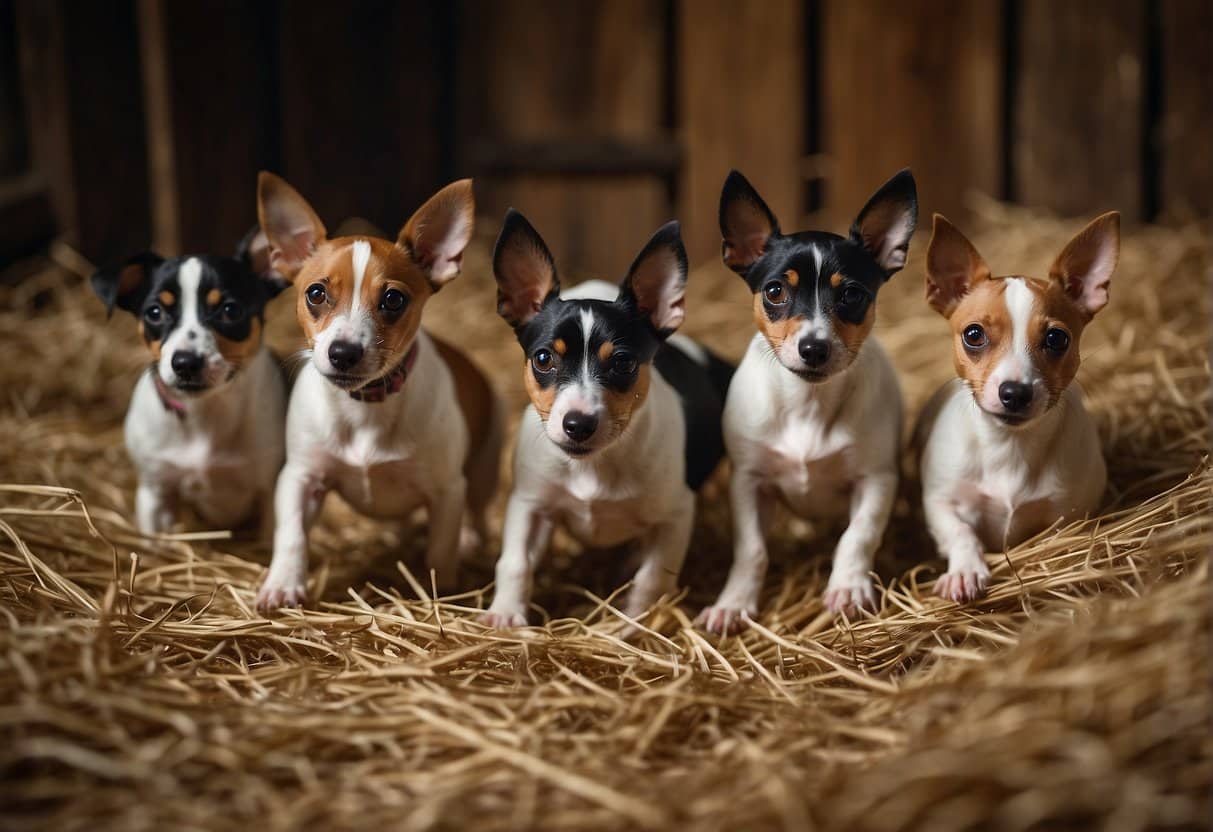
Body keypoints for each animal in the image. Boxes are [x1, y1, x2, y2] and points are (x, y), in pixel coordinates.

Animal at [90, 229, 289, 540]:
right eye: (154, 312)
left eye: (231, 310)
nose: (185, 363)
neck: (204, 414)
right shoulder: (154, 492)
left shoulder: (269, 492)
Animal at [255, 172, 502, 613]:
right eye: (315, 294)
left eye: (393, 299)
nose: (343, 353)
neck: (365, 407)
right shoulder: (300, 478)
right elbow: (292, 535)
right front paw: (283, 583)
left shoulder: (446, 491)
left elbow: (440, 551)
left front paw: (440, 592)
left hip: (483, 471)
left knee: (475, 514)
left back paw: (470, 541)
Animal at [480, 212, 727, 630]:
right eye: (543, 358)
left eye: (624, 363)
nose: (578, 424)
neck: (594, 466)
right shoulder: (529, 504)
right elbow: (514, 563)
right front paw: (506, 614)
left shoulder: (675, 517)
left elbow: (652, 577)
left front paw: (631, 623)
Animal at [698, 171, 912, 640]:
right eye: (775, 291)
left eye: (852, 295)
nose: (813, 347)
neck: (807, 403)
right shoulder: (749, 482)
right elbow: (752, 550)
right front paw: (733, 604)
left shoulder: (876, 480)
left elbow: (858, 536)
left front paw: (848, 588)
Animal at [917, 208, 1115, 603]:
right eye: (973, 334)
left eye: (1056, 339)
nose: (1015, 392)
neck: (1008, 445)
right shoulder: (940, 503)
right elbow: (961, 533)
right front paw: (964, 571)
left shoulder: (1070, 512)